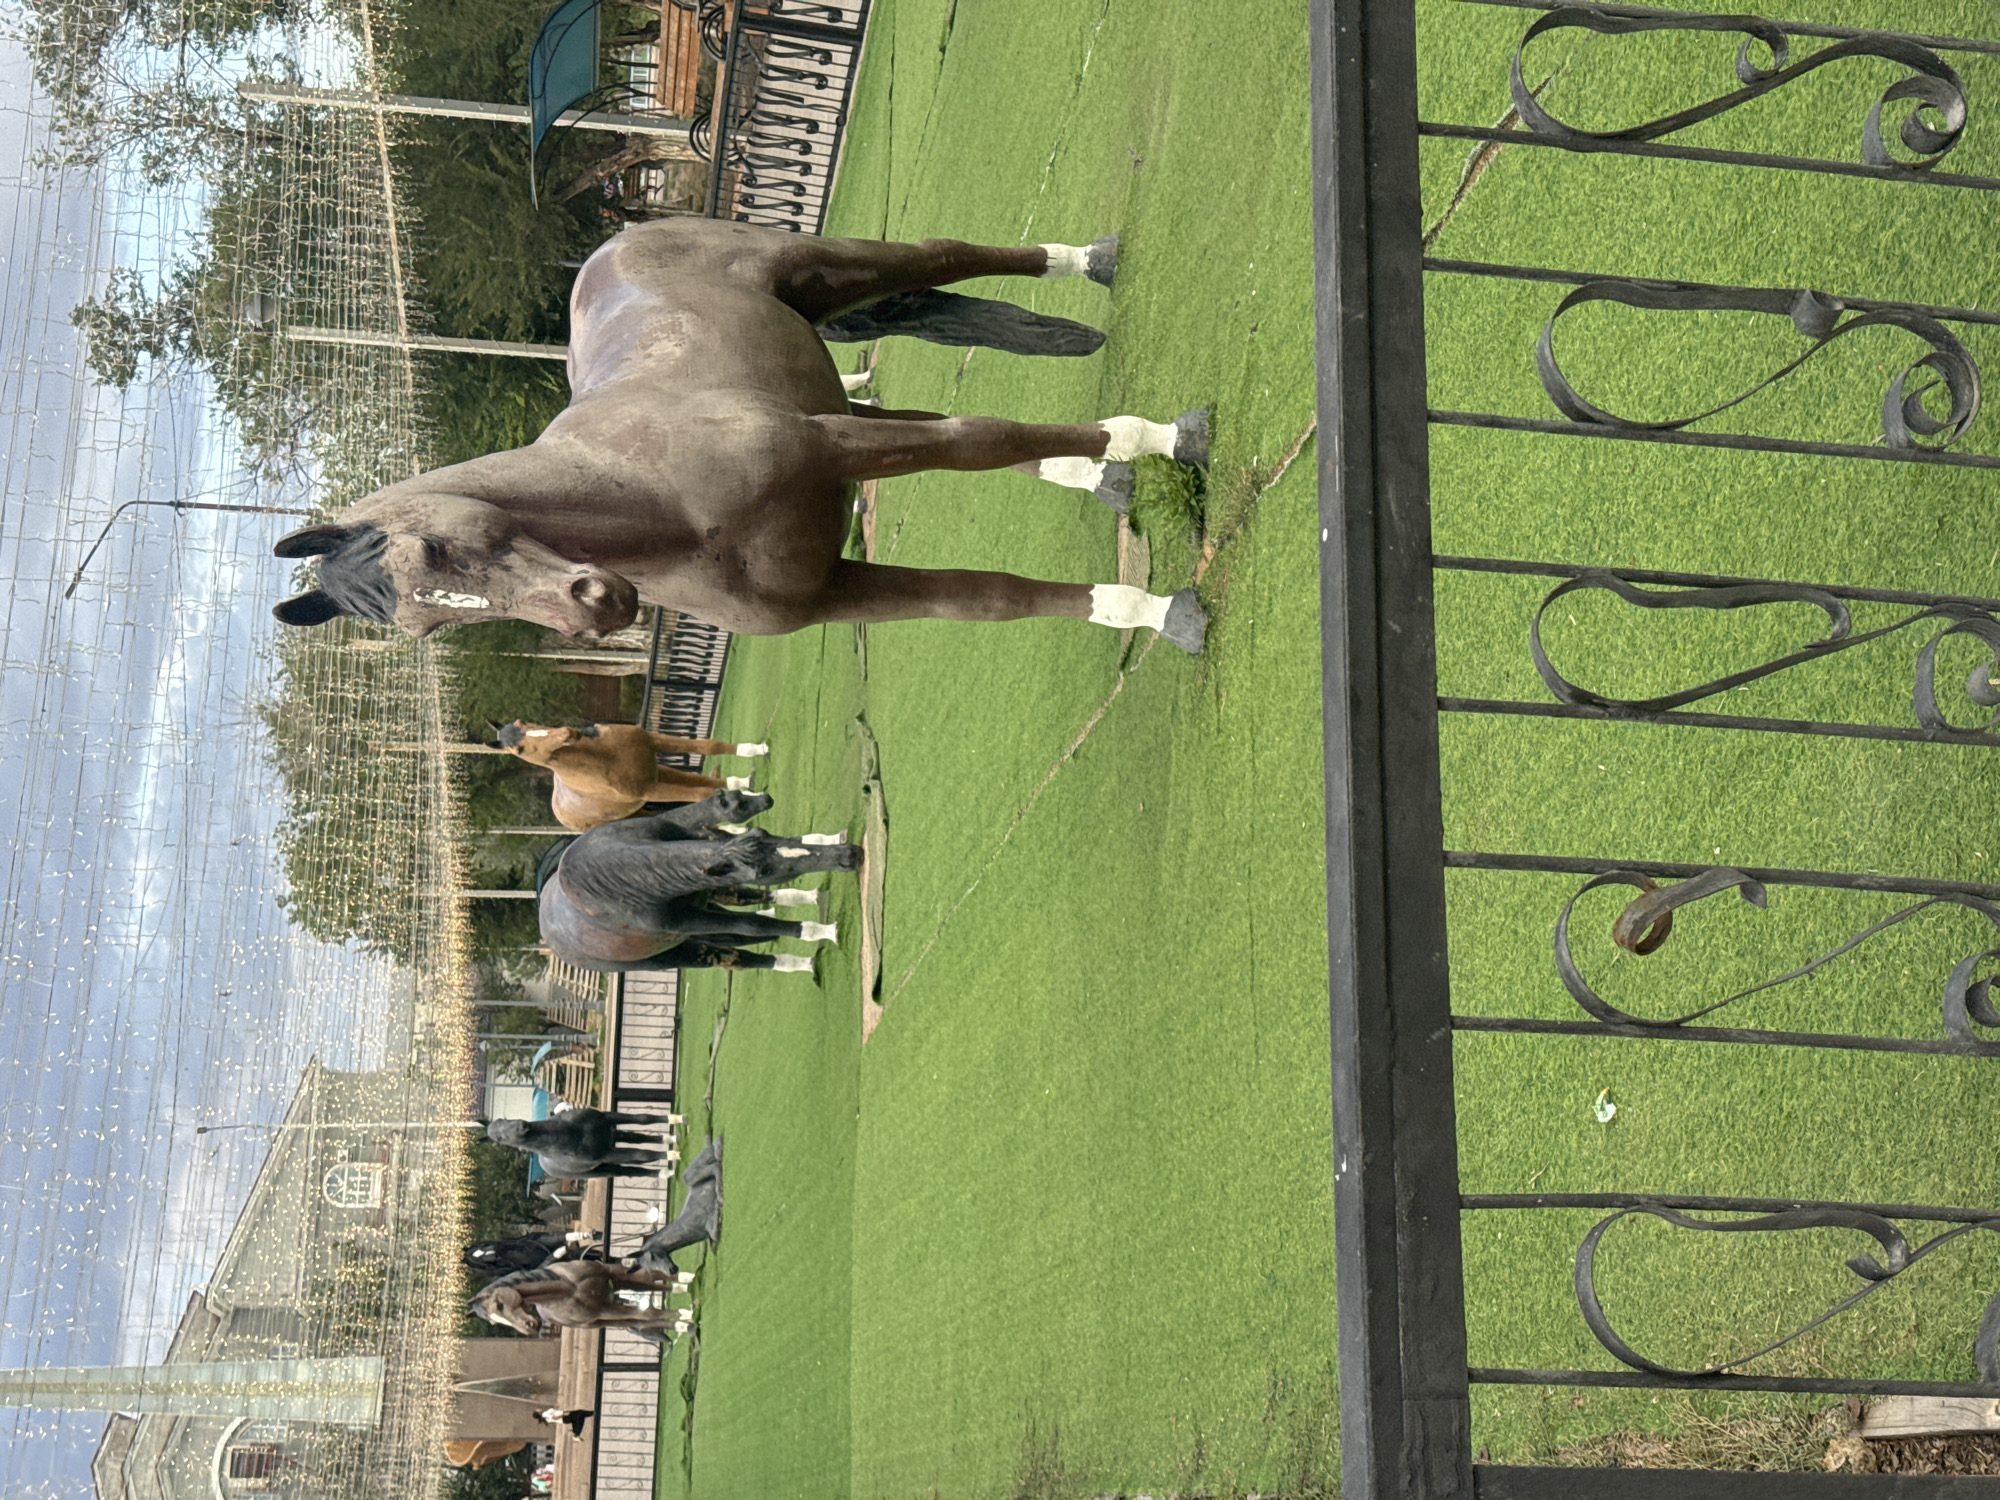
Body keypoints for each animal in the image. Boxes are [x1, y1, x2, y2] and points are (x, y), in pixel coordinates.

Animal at [269, 218, 1210, 653]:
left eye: (431, 552)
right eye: (423, 630)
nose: (591, 608)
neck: (666, 506)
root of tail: (620, 237)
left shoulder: (832, 448)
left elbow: (983, 439)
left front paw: (1162, 439)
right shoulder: (831, 589)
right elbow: (982, 599)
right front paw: (1152, 612)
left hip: (833, 270)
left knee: (944, 255)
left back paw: (1088, 262)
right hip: (834, 389)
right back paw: (1101, 481)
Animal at [492, 719, 767, 831]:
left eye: (523, 722)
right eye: (520, 749)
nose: (568, 733)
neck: (602, 754)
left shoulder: (653, 743)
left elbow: (710, 747)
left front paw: (754, 754)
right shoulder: (651, 790)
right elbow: (704, 794)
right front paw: (746, 802)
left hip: (660, 773)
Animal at [535, 789, 859, 975]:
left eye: (763, 834)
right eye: (763, 871)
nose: (849, 856)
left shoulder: (711, 868)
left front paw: (832, 841)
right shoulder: (687, 920)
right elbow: (752, 924)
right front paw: (820, 931)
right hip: (676, 951)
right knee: (735, 955)